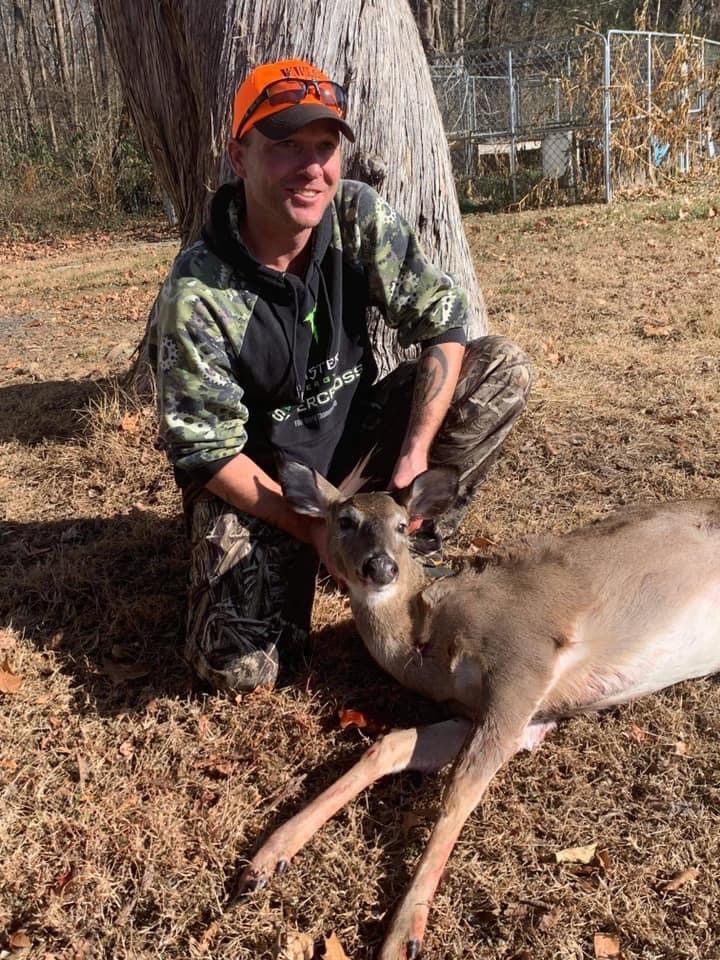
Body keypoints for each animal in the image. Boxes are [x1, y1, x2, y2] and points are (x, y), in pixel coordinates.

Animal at [236, 462, 720, 956]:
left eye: (401, 525)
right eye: (345, 521)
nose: (382, 566)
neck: (427, 641)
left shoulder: (524, 660)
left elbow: (461, 788)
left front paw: (403, 935)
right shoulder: (508, 714)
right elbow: (391, 744)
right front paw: (265, 860)